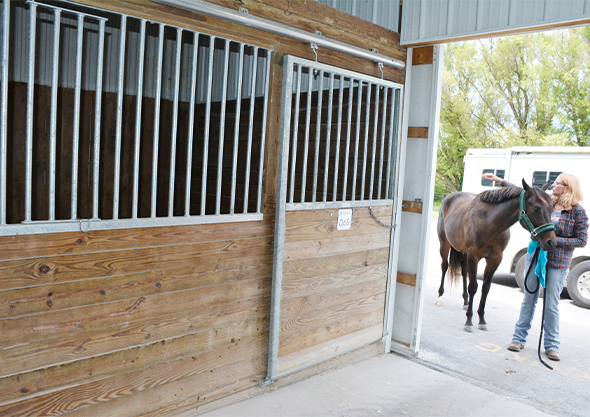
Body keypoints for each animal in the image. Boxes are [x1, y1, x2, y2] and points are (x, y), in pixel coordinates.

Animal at [440, 179, 560, 332]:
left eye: (551, 208)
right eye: (536, 208)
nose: (551, 242)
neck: (490, 222)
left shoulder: (495, 259)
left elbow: (486, 288)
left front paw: (482, 319)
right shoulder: (474, 255)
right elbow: (473, 286)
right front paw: (469, 321)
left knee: (464, 271)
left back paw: (466, 302)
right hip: (444, 244)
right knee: (444, 267)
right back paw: (440, 296)